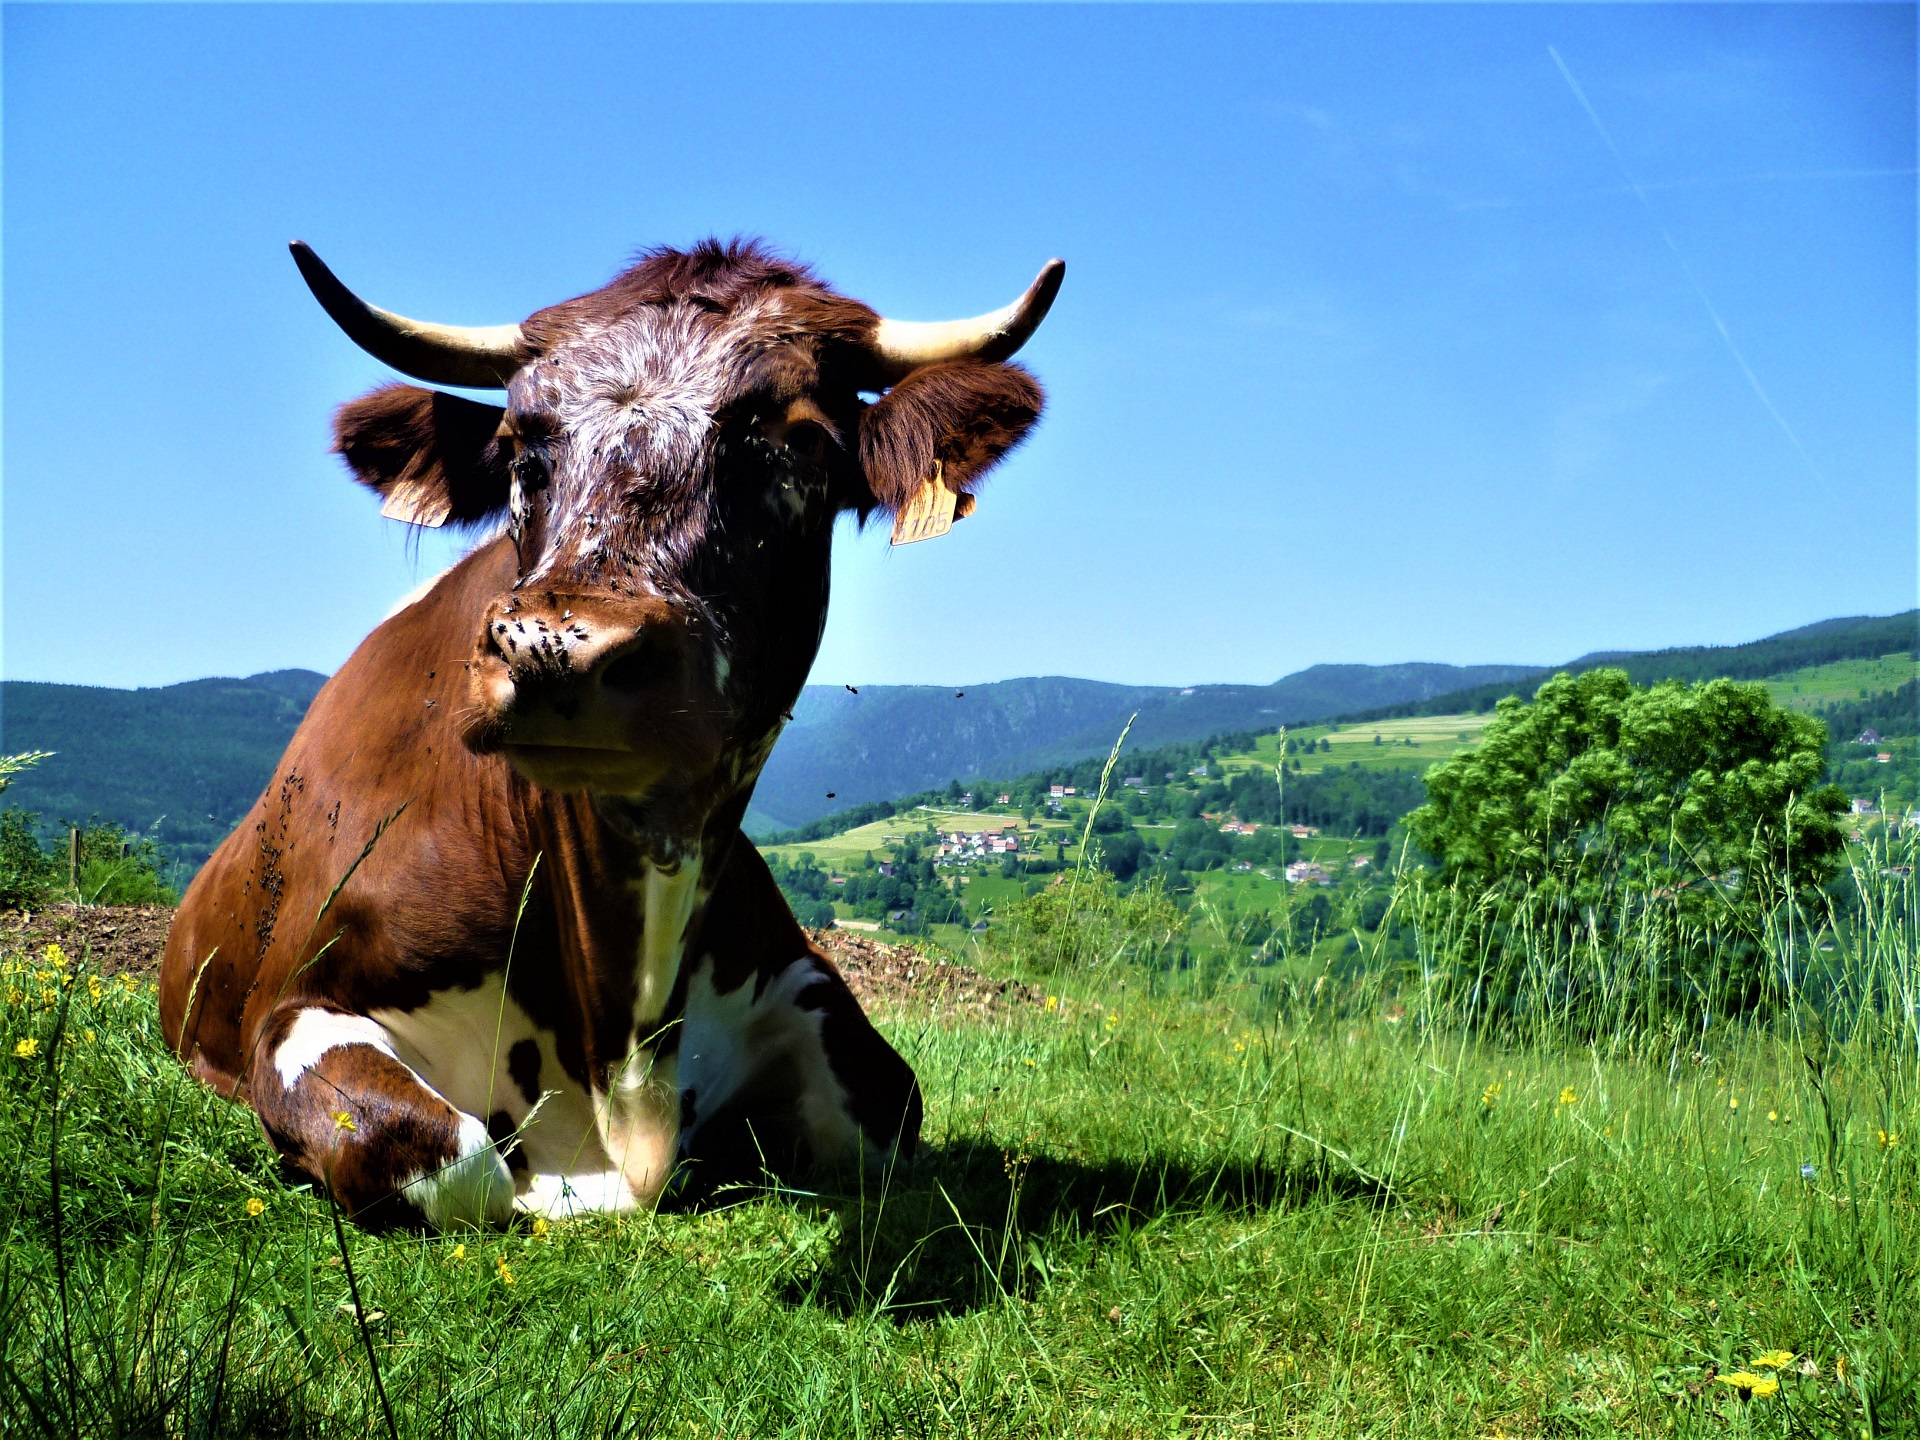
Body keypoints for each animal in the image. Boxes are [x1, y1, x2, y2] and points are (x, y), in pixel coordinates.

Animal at [159, 239, 1061, 1230]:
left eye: (801, 440)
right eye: (518, 447)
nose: (556, 649)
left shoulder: (809, 993)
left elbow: (889, 1108)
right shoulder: (298, 1009)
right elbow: (444, 1154)